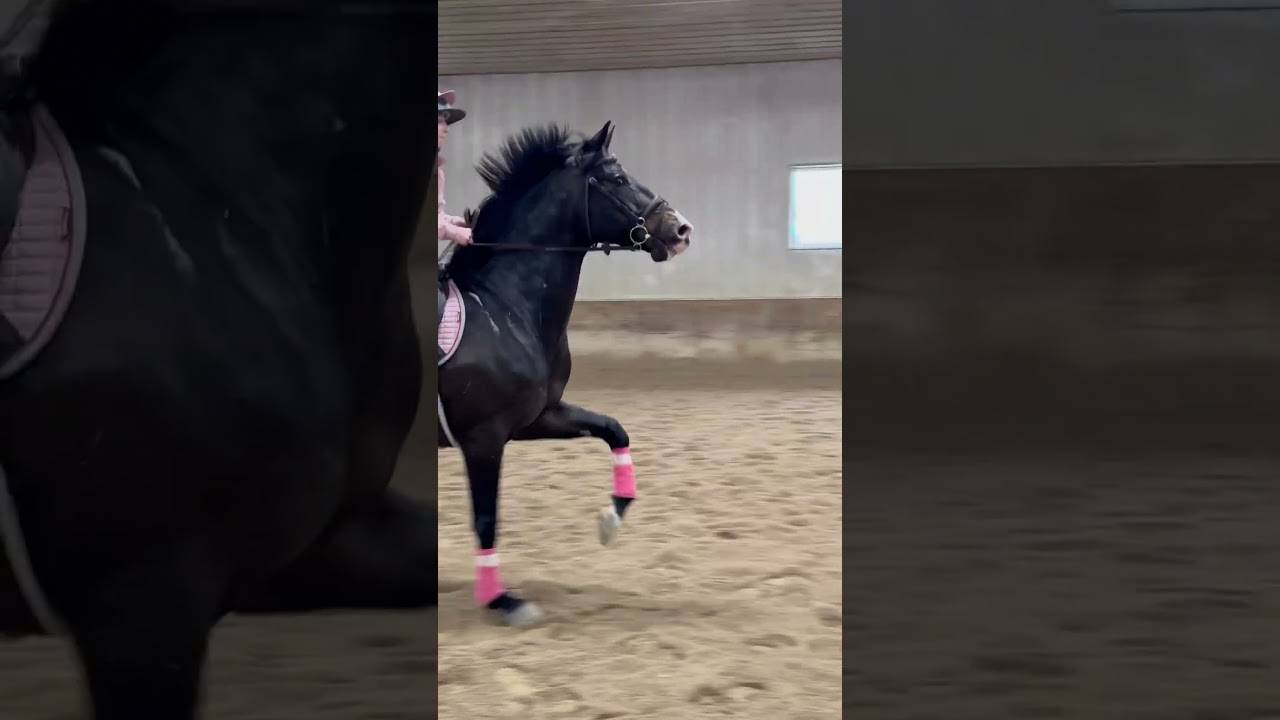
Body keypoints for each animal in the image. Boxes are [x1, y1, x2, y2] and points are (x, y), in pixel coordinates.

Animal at [436, 121, 694, 626]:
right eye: (616, 178)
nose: (680, 230)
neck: (505, 307)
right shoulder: (483, 439)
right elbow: (486, 519)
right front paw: (504, 601)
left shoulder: (539, 417)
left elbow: (614, 430)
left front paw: (611, 519)